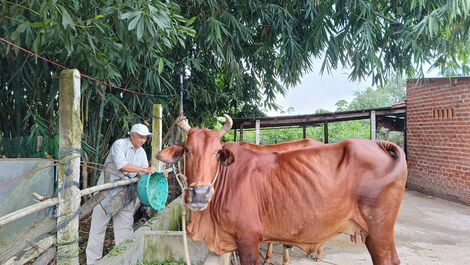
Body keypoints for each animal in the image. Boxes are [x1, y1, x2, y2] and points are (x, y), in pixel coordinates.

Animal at [158, 115, 408, 264]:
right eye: (187, 149)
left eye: (218, 151)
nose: (200, 193)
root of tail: (380, 145)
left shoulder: (248, 238)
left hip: (379, 231)